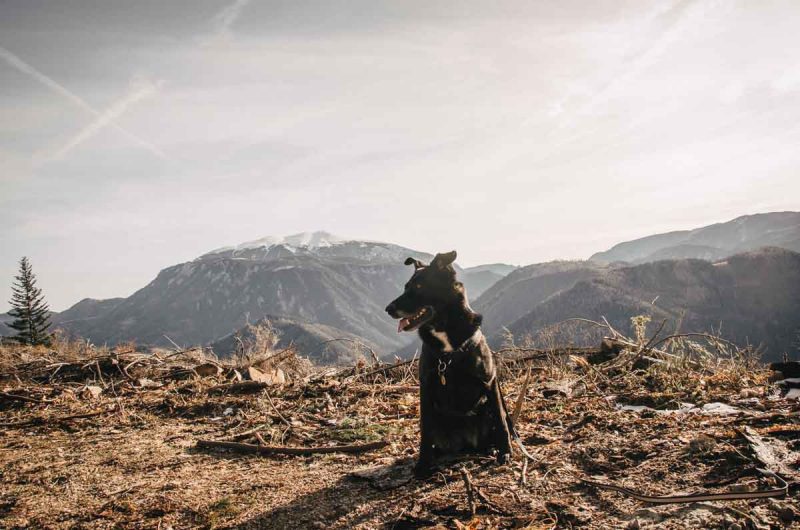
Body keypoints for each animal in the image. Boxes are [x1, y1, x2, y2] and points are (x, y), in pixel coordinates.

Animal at [384, 250, 516, 476]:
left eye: (419, 286)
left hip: (485, 407)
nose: (388, 309)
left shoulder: (489, 381)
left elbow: (501, 420)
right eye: (406, 286)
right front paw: (423, 464)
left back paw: (492, 448)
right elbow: (425, 430)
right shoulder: (426, 387)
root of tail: (467, 444)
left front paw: (505, 452)